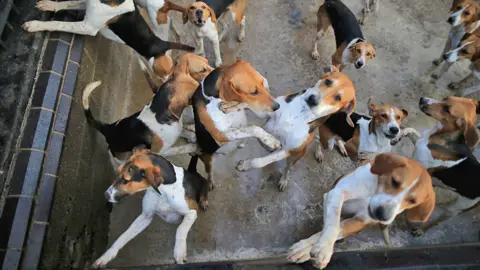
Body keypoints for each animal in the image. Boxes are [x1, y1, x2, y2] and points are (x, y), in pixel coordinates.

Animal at [81, 52, 213, 168]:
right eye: (192, 96)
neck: (158, 110)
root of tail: (107, 128)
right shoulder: (161, 151)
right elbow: (180, 148)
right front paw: (194, 147)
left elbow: (184, 131)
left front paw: (192, 136)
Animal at [286, 153, 436, 268]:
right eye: (394, 181)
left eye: (413, 202)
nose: (382, 215)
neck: (373, 190)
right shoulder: (336, 193)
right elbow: (333, 224)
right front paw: (324, 248)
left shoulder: (360, 221)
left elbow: (337, 229)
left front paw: (307, 249)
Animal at [408, 96, 480, 235]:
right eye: (446, 98)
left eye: (447, 109)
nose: (423, 99)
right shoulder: (419, 143)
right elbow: (410, 130)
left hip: (454, 209)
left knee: (437, 221)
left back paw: (421, 230)